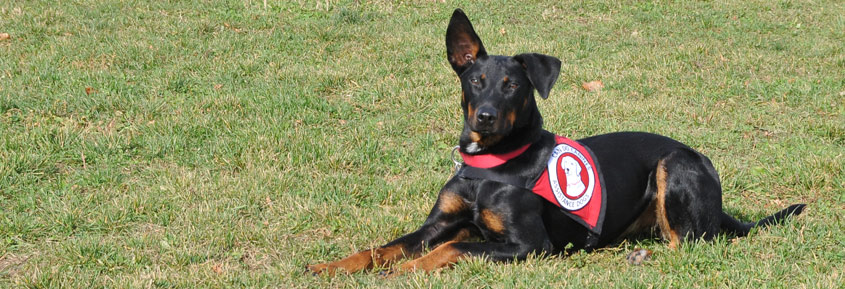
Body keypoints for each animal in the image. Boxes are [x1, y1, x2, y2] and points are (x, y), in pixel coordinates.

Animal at [304, 9, 804, 274]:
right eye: (475, 80)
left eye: (512, 86)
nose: (485, 117)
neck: (490, 165)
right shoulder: (438, 223)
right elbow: (380, 247)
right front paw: (331, 267)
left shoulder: (529, 245)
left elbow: (450, 248)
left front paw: (406, 271)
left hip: (674, 165)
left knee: (694, 243)